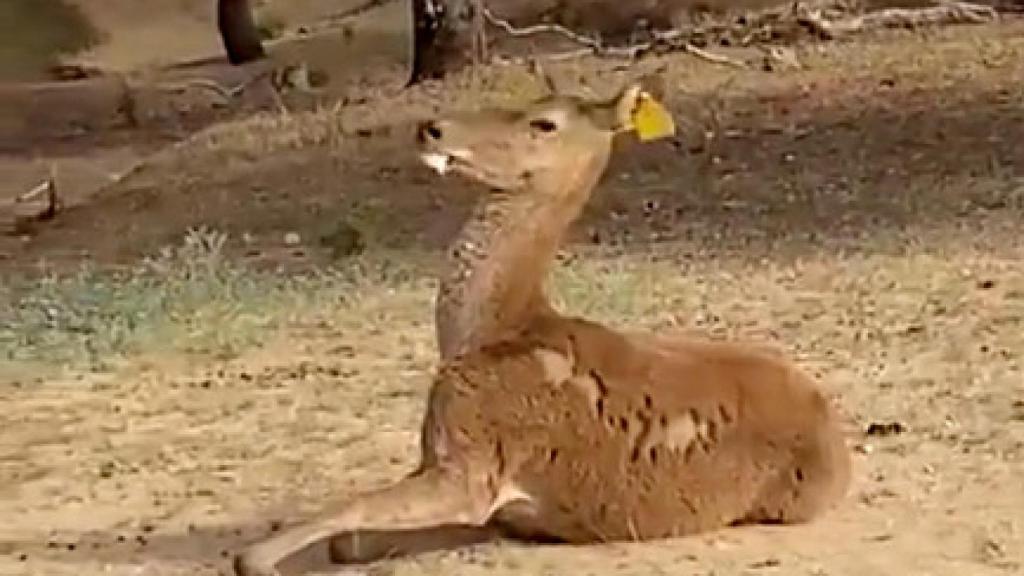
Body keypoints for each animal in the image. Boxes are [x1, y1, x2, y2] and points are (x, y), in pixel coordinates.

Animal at [233, 81, 852, 576]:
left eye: (544, 122)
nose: (432, 127)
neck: (488, 332)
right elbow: (353, 537)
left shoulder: (473, 459)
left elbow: (354, 508)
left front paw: (256, 560)